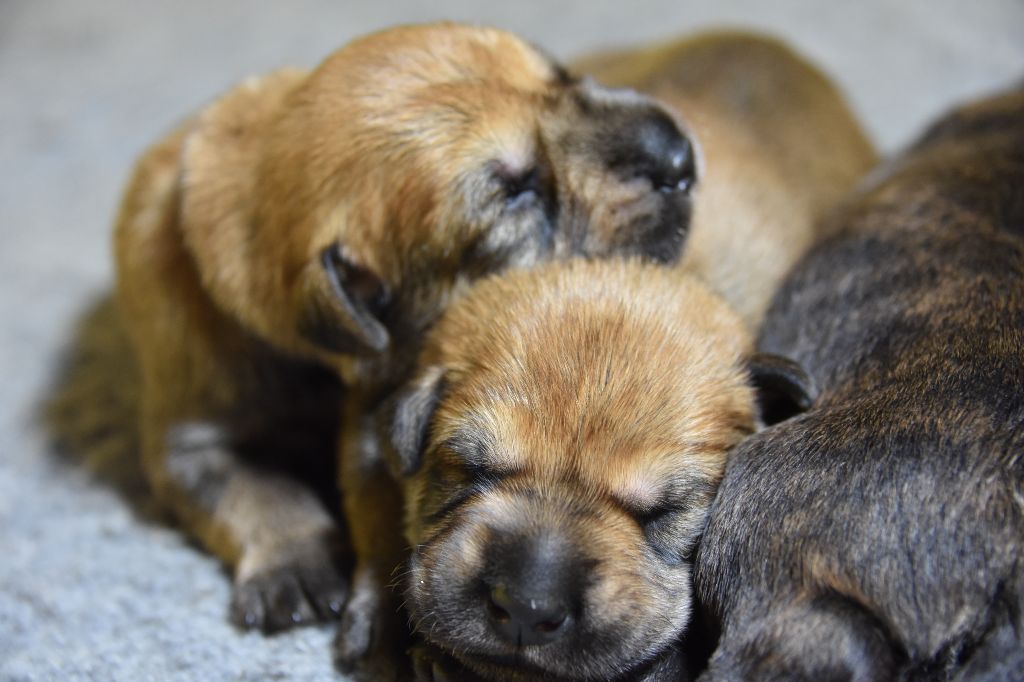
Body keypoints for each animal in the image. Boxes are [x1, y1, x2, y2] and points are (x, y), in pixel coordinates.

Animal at [114, 18, 696, 643]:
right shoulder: (190, 440)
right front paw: (295, 568)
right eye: (518, 192)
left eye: (560, 74)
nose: (680, 157)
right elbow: (256, 491)